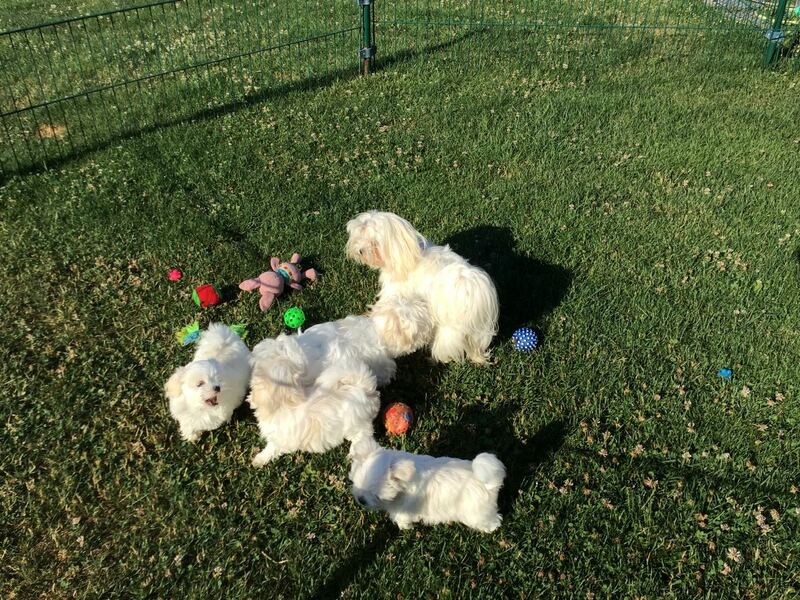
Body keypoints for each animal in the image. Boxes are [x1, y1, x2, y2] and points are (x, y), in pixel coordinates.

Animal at [346, 211, 499, 364]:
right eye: (360, 236)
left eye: (375, 243)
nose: (360, 250)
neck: (407, 255)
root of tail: (469, 286)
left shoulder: (396, 293)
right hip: (479, 331)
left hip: (450, 330)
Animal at [348, 437, 506, 532]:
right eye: (356, 483)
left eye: (376, 496)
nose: (361, 500)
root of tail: (490, 485)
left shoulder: (404, 510)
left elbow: (401, 519)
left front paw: (406, 528)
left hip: (475, 514)